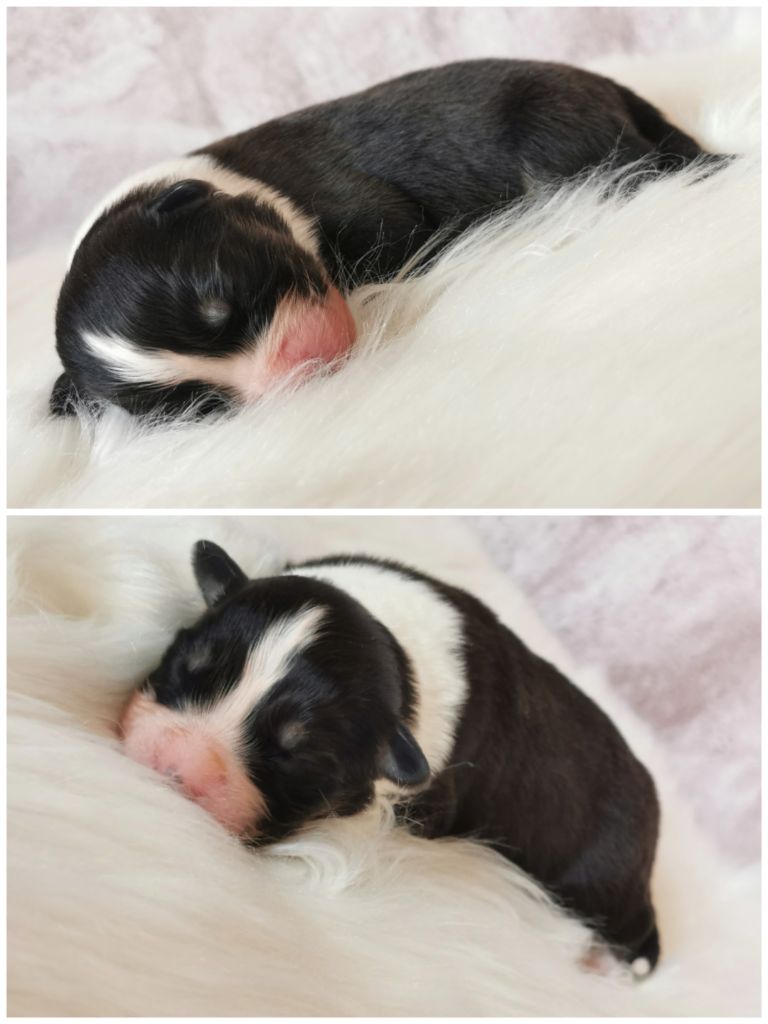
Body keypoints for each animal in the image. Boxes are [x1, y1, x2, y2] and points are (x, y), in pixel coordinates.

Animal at [52, 59, 711, 418]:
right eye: (201, 406)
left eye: (224, 300)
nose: (310, 368)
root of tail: (611, 88)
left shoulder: (368, 211)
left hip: (555, 127)